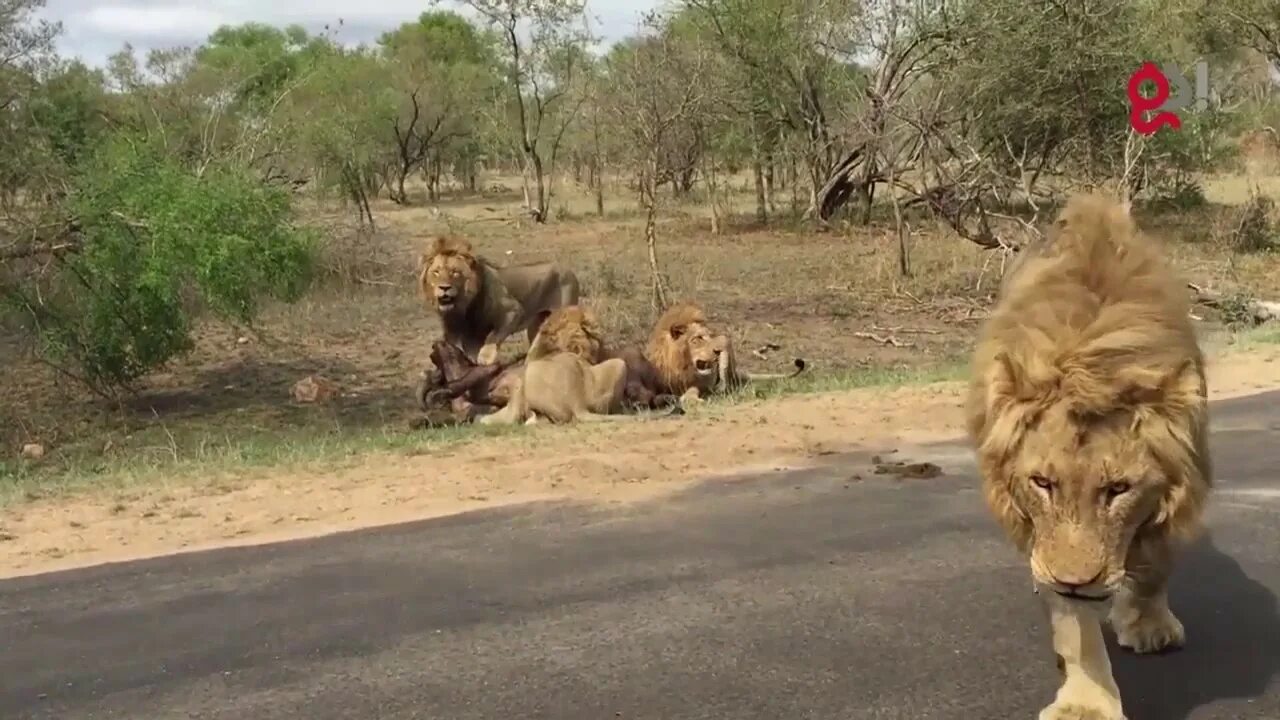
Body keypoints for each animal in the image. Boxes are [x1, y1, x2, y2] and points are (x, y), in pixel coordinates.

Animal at [419, 234, 581, 363]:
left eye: (455, 272)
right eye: (436, 272)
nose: (444, 287)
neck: (462, 308)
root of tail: (568, 269)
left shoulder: (513, 311)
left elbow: (493, 336)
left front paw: (485, 357)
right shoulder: (467, 334)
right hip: (536, 324)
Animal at [645, 298, 803, 404]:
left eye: (709, 335)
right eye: (698, 338)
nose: (717, 351)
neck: (680, 366)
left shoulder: (701, 384)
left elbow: (693, 390)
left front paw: (692, 399)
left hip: (727, 349)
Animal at [967, 192, 1208, 717]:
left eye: (1119, 488)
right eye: (1042, 483)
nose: (1073, 581)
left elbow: (1155, 562)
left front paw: (1149, 625)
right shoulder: (1046, 541)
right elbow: (1075, 627)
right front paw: (1086, 705)